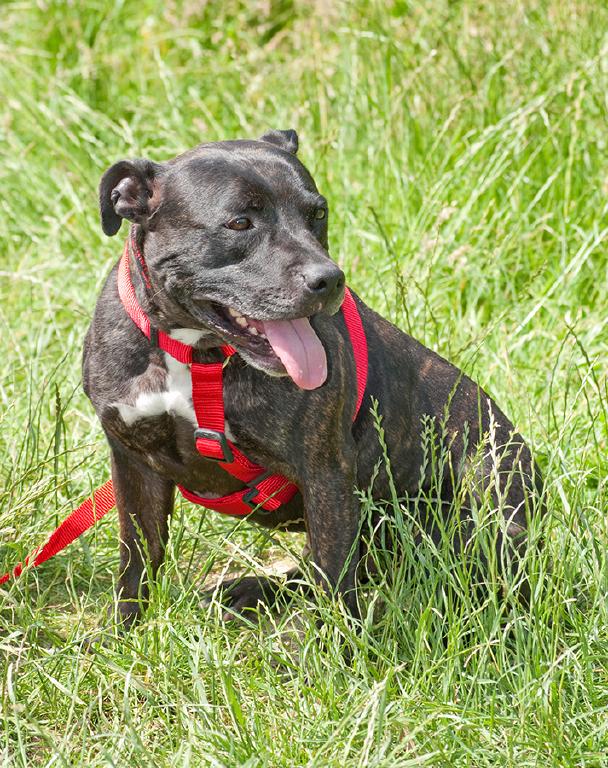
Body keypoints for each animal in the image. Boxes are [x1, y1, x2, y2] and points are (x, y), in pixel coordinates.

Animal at [82, 129, 540, 628]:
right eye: (239, 223)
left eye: (317, 213)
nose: (329, 278)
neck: (195, 353)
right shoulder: (132, 461)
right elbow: (137, 558)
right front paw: (122, 632)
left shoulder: (324, 471)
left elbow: (334, 580)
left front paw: (333, 645)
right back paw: (253, 591)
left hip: (490, 492)